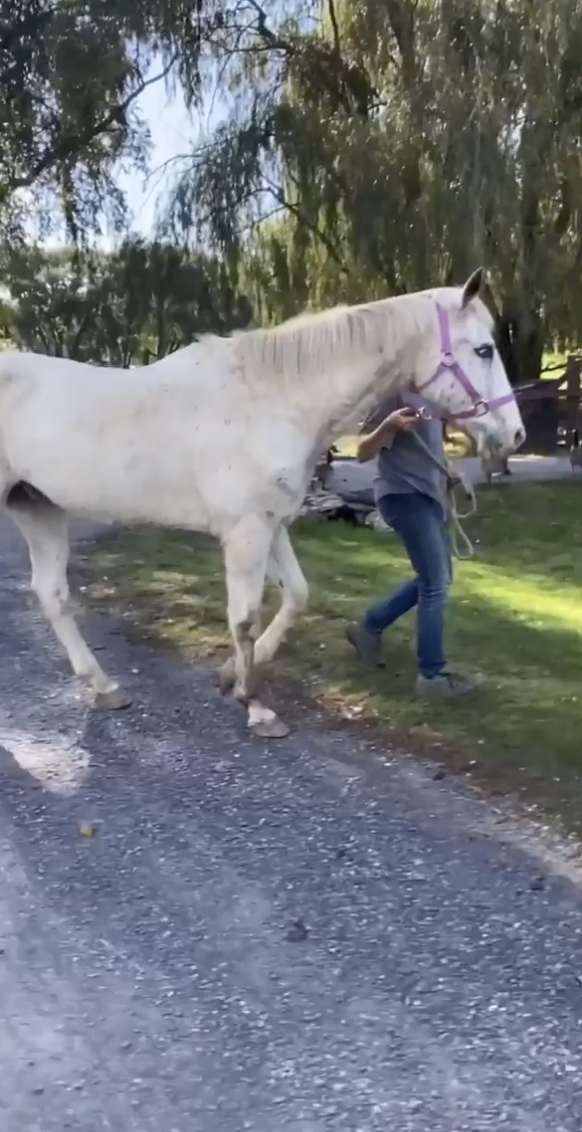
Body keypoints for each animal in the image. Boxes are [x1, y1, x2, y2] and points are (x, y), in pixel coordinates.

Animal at [0, 267, 525, 738]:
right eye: (484, 349)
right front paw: (256, 706)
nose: (515, 435)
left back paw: (105, 687)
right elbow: (245, 618)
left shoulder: (272, 524)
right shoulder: (245, 531)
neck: (273, 399)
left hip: (37, 508)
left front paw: (233, 677)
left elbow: (296, 596)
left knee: (52, 595)